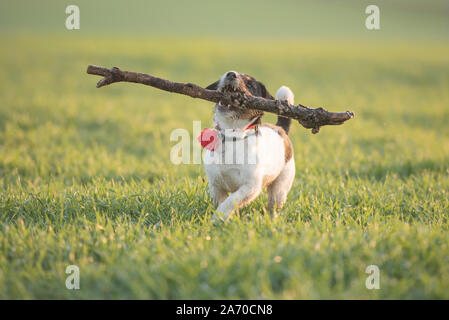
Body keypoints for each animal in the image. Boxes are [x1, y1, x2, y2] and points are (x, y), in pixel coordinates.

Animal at [201, 70, 296, 221]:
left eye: (250, 85)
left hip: (280, 187)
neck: (233, 136)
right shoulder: (216, 186)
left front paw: (218, 218)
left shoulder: (250, 187)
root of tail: (280, 129)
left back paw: (272, 219)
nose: (231, 74)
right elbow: (222, 201)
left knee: (274, 204)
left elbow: (230, 201)